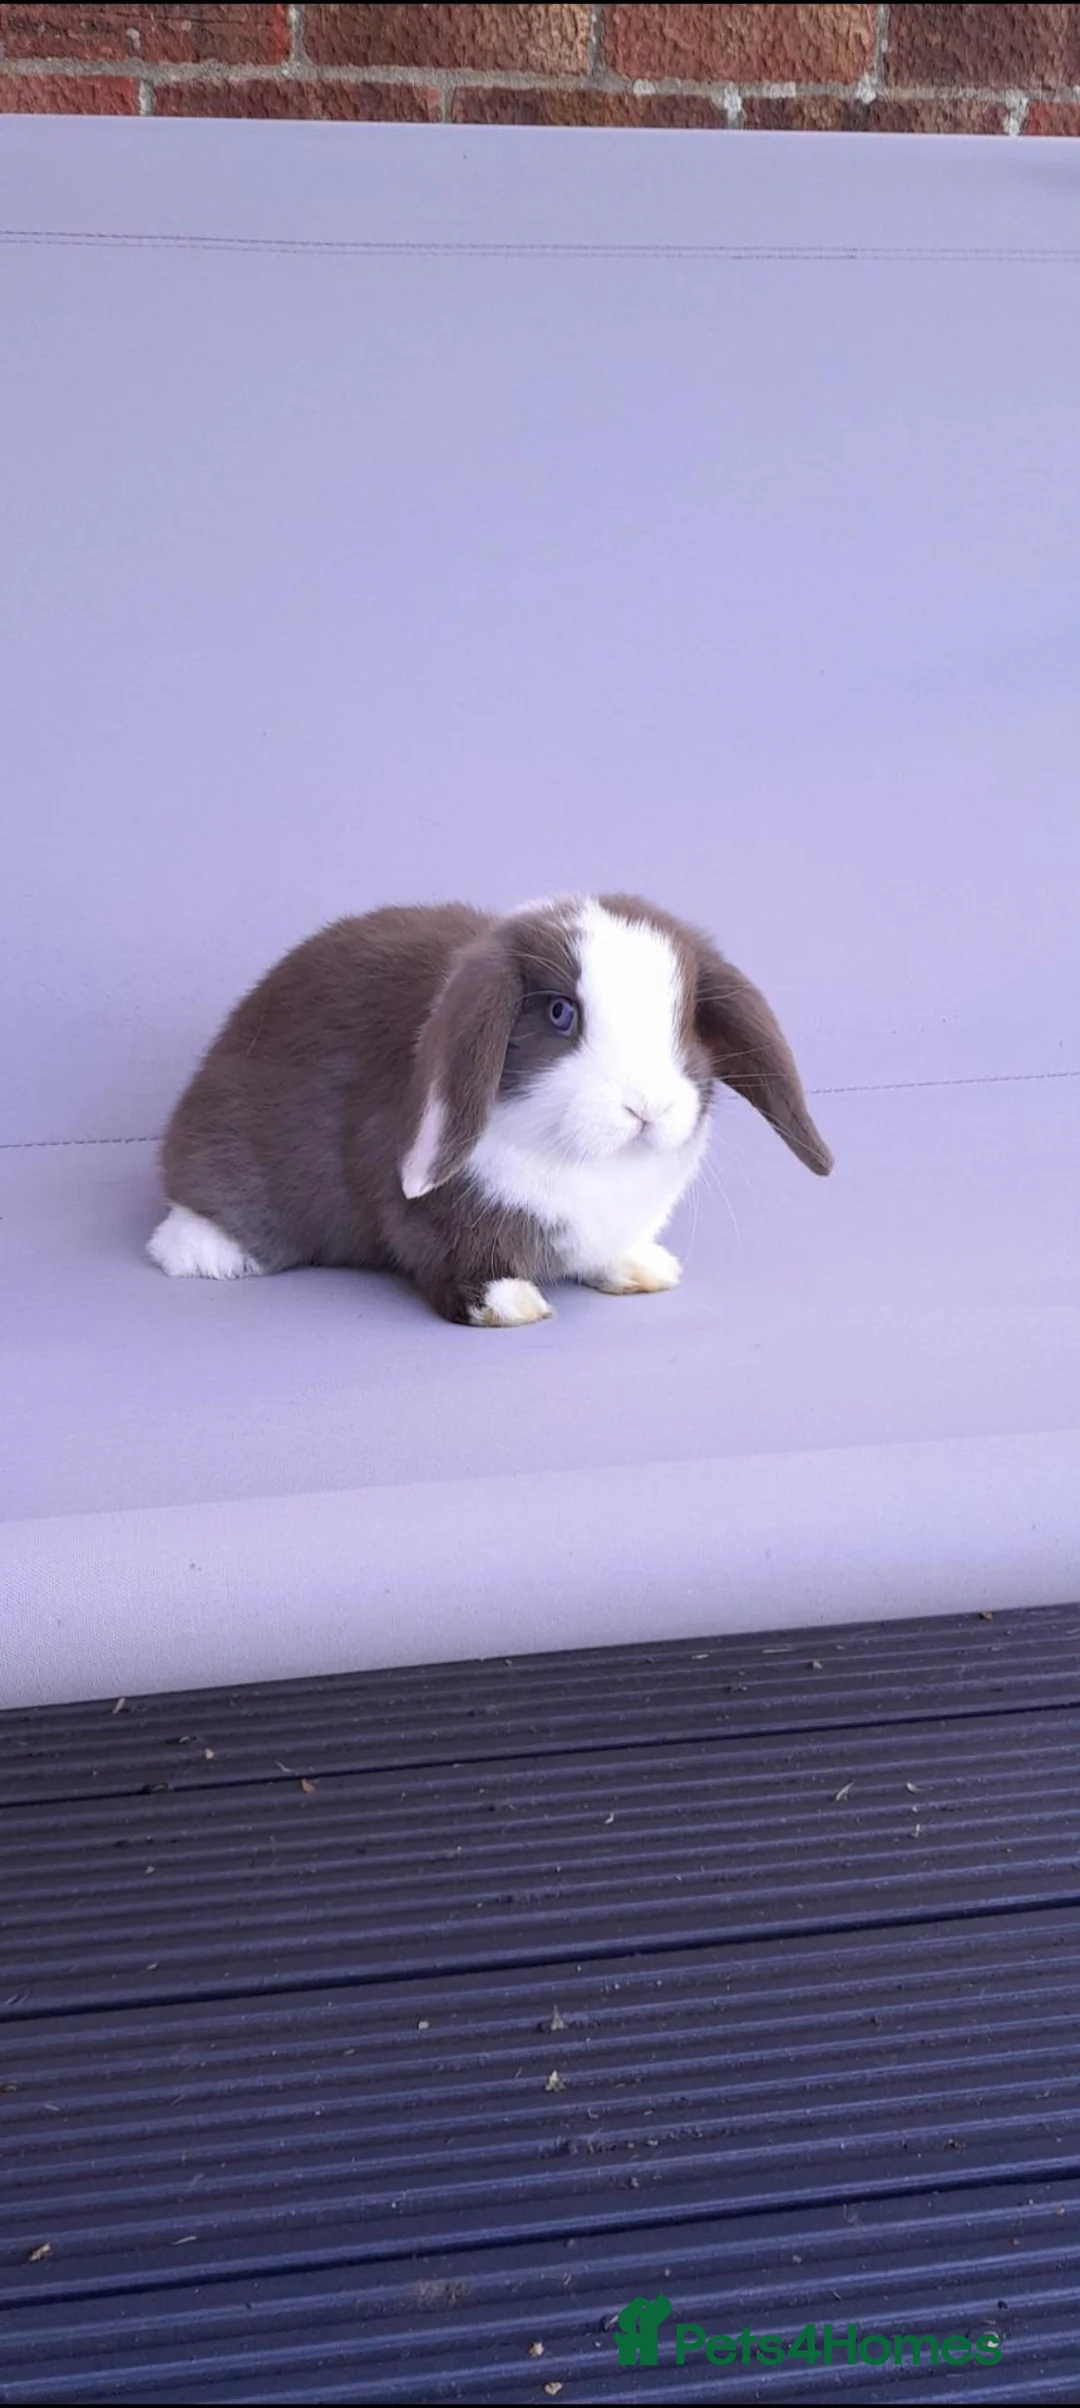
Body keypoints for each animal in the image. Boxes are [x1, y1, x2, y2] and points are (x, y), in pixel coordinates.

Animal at [148, 893, 832, 1327]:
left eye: (686, 1020)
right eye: (560, 1013)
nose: (647, 1106)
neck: (589, 1165)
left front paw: (642, 1269)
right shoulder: (435, 1219)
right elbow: (456, 1260)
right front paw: (509, 1306)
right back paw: (202, 1252)